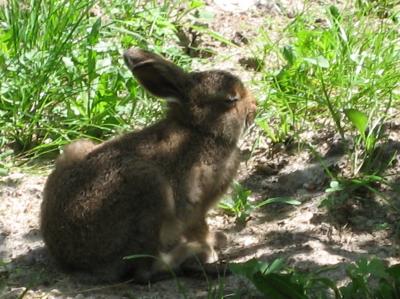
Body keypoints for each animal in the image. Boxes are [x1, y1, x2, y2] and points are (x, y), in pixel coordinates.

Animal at [39, 47, 256, 284]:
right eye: (231, 99)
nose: (254, 107)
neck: (200, 129)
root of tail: (73, 261)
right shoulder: (195, 205)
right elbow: (199, 228)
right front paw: (210, 249)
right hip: (151, 190)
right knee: (143, 273)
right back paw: (189, 255)